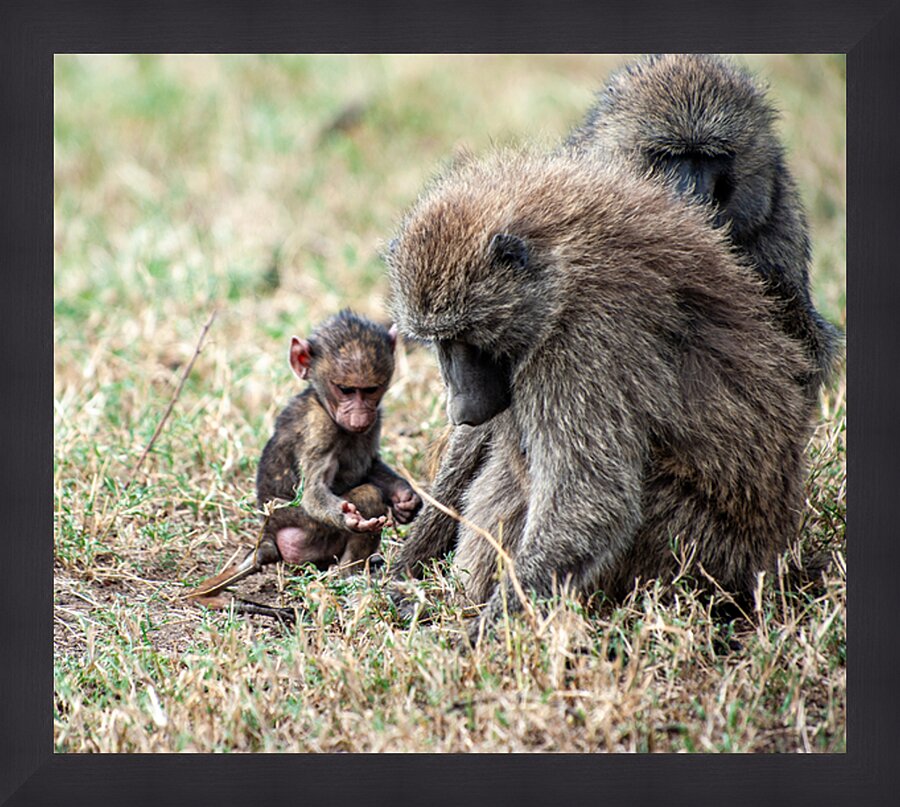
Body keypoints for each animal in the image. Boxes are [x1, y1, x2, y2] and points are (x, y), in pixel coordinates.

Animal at [187, 310, 421, 607]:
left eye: (370, 390)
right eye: (345, 390)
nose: (359, 418)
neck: (323, 402)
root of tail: (268, 538)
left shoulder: (375, 420)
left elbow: (370, 465)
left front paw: (405, 498)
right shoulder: (317, 428)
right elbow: (313, 492)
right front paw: (351, 519)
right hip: (305, 531)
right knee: (368, 496)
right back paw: (347, 578)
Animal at [386, 149, 812, 637]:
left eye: (468, 339)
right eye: (441, 343)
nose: (459, 405)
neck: (562, 266)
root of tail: (767, 556)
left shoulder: (584, 341)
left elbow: (592, 498)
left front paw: (477, 638)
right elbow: (481, 439)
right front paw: (406, 564)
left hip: (687, 548)